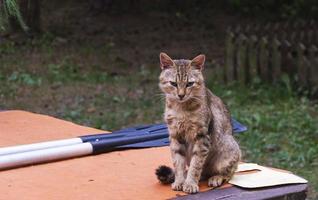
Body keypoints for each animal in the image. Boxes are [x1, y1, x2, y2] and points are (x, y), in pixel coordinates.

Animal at [155, 52, 240, 193]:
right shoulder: (175, 135)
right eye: (173, 83)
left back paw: (216, 178)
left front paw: (190, 184)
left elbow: (196, 165)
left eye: (189, 84)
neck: (181, 108)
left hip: (228, 148)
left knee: (229, 173)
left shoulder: (202, 137)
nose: (181, 95)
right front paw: (180, 181)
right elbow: (178, 163)